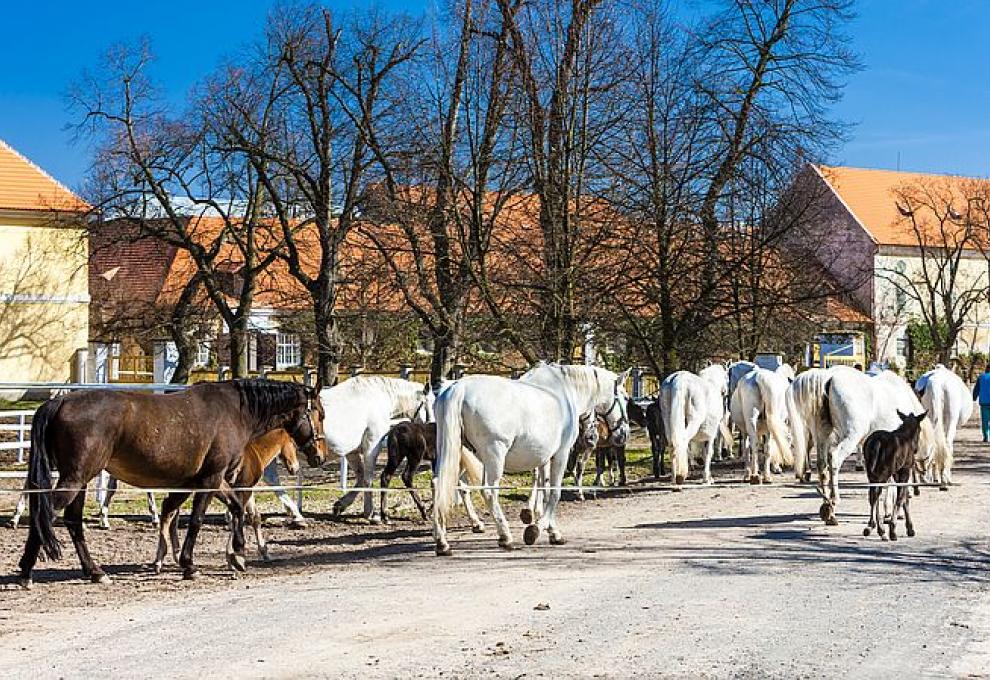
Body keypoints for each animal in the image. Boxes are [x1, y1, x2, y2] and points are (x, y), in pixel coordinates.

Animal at [152, 430, 302, 572]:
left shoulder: (245, 490)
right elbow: (237, 516)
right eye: (294, 444)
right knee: (170, 510)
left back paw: (166, 558)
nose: (295, 468)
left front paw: (263, 553)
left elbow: (253, 517)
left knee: (170, 510)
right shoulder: (243, 489)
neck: (255, 451)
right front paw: (233, 558)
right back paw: (165, 558)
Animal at [324, 378, 436, 520]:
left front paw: (341, 505)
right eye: (430, 402)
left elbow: (361, 477)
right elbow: (368, 480)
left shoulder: (351, 452)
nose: (432, 423)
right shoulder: (371, 446)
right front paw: (370, 513)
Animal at [432, 364, 628, 556]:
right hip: (493, 455)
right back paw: (505, 537)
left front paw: (548, 527)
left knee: (440, 485)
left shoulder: (543, 458)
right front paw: (539, 530)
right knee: (488, 492)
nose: (623, 434)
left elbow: (544, 488)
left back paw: (442, 543)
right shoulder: (561, 454)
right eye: (625, 398)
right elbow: (554, 493)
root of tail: (459, 388)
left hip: (454, 452)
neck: (564, 390)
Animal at [820, 370, 944, 524]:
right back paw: (834, 500)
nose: (926, 478)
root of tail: (831, 379)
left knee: (822, 464)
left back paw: (826, 505)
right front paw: (892, 512)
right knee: (834, 458)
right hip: (851, 435)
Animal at [864, 410, 928, 540]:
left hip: (871, 473)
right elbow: (901, 498)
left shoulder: (896, 473)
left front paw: (909, 528)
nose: (916, 449)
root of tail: (876, 443)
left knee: (872, 496)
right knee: (876, 495)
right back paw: (881, 529)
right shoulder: (905, 470)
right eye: (919, 429)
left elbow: (904, 498)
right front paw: (894, 529)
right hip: (883, 472)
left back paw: (871, 526)